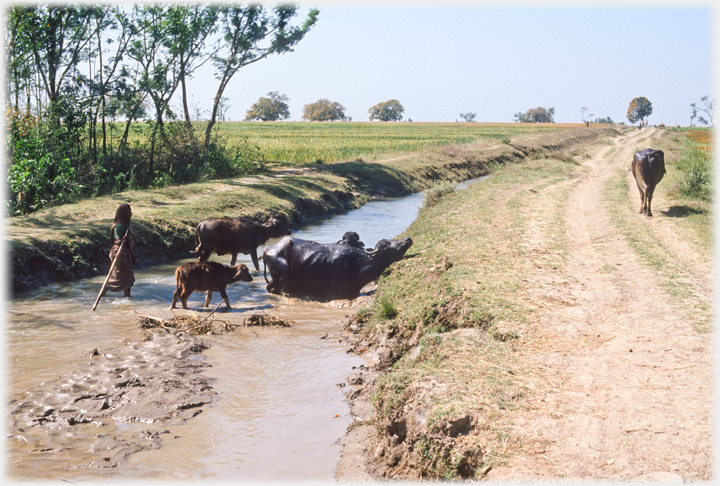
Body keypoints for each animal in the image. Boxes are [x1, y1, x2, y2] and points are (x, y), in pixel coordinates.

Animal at [262, 234, 410, 300]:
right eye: (386, 244)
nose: (408, 239)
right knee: (271, 288)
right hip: (282, 277)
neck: (358, 264)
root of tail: (267, 251)